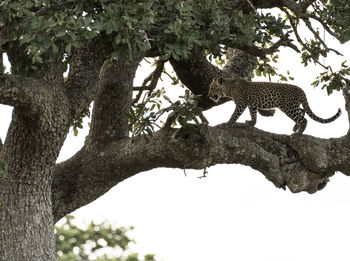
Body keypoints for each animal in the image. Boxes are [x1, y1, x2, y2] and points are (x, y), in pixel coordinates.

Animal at [208, 76, 342, 134]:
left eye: (213, 88)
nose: (208, 95)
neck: (228, 87)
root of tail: (301, 90)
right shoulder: (252, 105)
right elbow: (254, 115)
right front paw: (252, 123)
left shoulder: (241, 104)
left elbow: (234, 115)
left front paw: (227, 124)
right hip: (292, 105)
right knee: (303, 111)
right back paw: (296, 127)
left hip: (288, 107)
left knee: (304, 119)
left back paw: (298, 132)